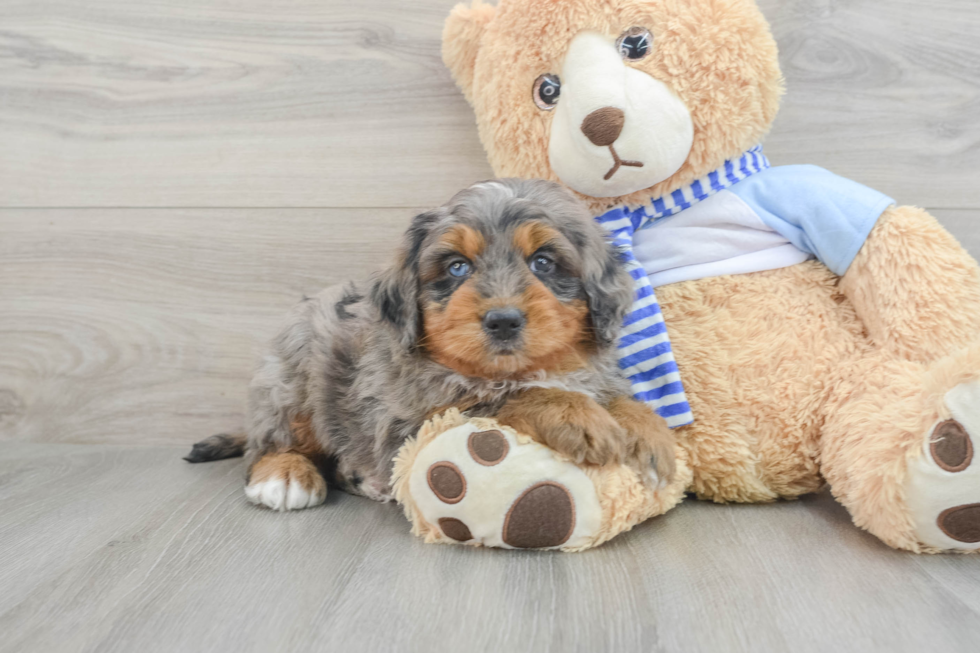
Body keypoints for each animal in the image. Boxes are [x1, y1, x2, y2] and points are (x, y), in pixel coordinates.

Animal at [186, 177, 672, 510]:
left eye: (544, 262)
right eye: (457, 267)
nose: (503, 321)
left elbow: (617, 398)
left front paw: (649, 433)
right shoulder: (412, 423)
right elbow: (511, 396)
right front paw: (576, 414)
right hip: (292, 381)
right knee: (269, 444)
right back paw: (285, 475)